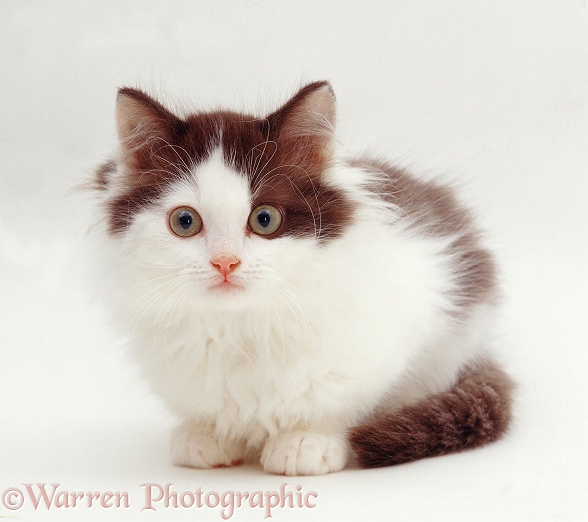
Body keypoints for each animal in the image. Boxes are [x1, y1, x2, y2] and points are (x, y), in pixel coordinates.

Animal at [89, 79, 512, 474]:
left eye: (264, 219)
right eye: (184, 221)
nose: (225, 263)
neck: (238, 325)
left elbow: (338, 400)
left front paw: (307, 440)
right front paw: (207, 434)